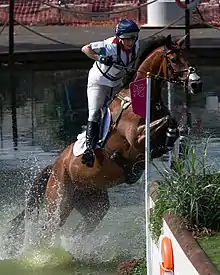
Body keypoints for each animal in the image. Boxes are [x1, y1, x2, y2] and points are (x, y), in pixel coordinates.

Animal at [9, 34, 203, 240]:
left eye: (187, 57)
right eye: (173, 60)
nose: (196, 84)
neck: (143, 98)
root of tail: (54, 167)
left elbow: (175, 126)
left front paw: (176, 150)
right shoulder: (136, 138)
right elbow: (166, 121)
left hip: (94, 204)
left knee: (79, 230)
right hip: (60, 203)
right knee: (48, 230)